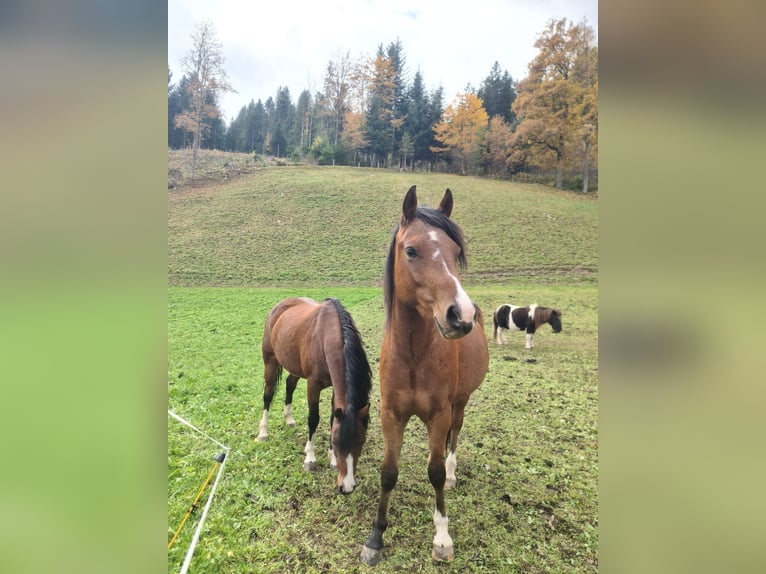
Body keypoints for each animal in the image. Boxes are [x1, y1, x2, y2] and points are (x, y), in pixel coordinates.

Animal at [257, 297, 371, 494]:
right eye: (336, 441)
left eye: (362, 441)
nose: (347, 487)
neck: (326, 337)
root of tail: (279, 305)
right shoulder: (313, 385)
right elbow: (313, 419)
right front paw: (310, 459)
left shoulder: (335, 388)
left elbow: (332, 419)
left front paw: (332, 459)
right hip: (270, 361)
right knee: (268, 395)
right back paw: (263, 432)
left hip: (293, 365)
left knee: (289, 384)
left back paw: (289, 418)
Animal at [361, 186, 489, 565]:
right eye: (411, 250)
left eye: (456, 252)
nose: (461, 314)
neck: (414, 356)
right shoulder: (391, 415)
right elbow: (388, 473)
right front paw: (375, 536)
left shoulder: (438, 415)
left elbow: (433, 472)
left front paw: (442, 537)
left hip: (460, 402)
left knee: (454, 436)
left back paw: (452, 474)